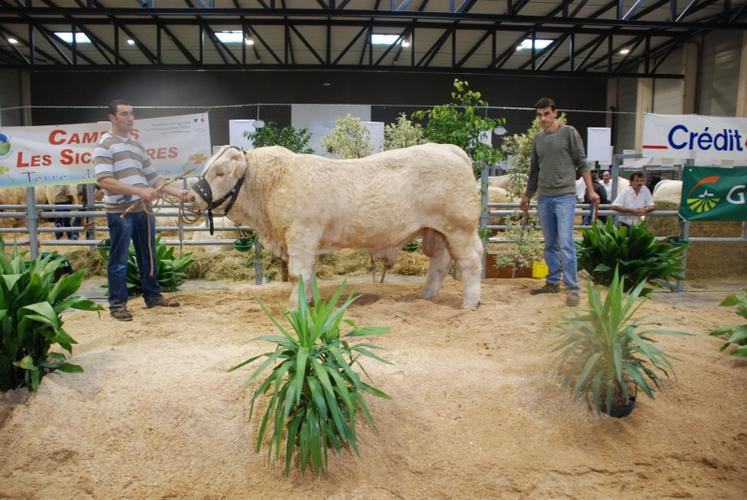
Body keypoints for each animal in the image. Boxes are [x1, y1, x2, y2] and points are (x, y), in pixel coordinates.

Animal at [190, 144, 486, 308]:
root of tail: (449, 148)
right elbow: (309, 273)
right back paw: (426, 297)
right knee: (440, 261)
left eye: (220, 173)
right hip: (435, 231)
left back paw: (469, 303)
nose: (191, 196)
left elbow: (298, 274)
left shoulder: (301, 235)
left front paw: (294, 307)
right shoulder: (307, 242)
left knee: (470, 262)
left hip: (459, 227)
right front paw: (308, 302)